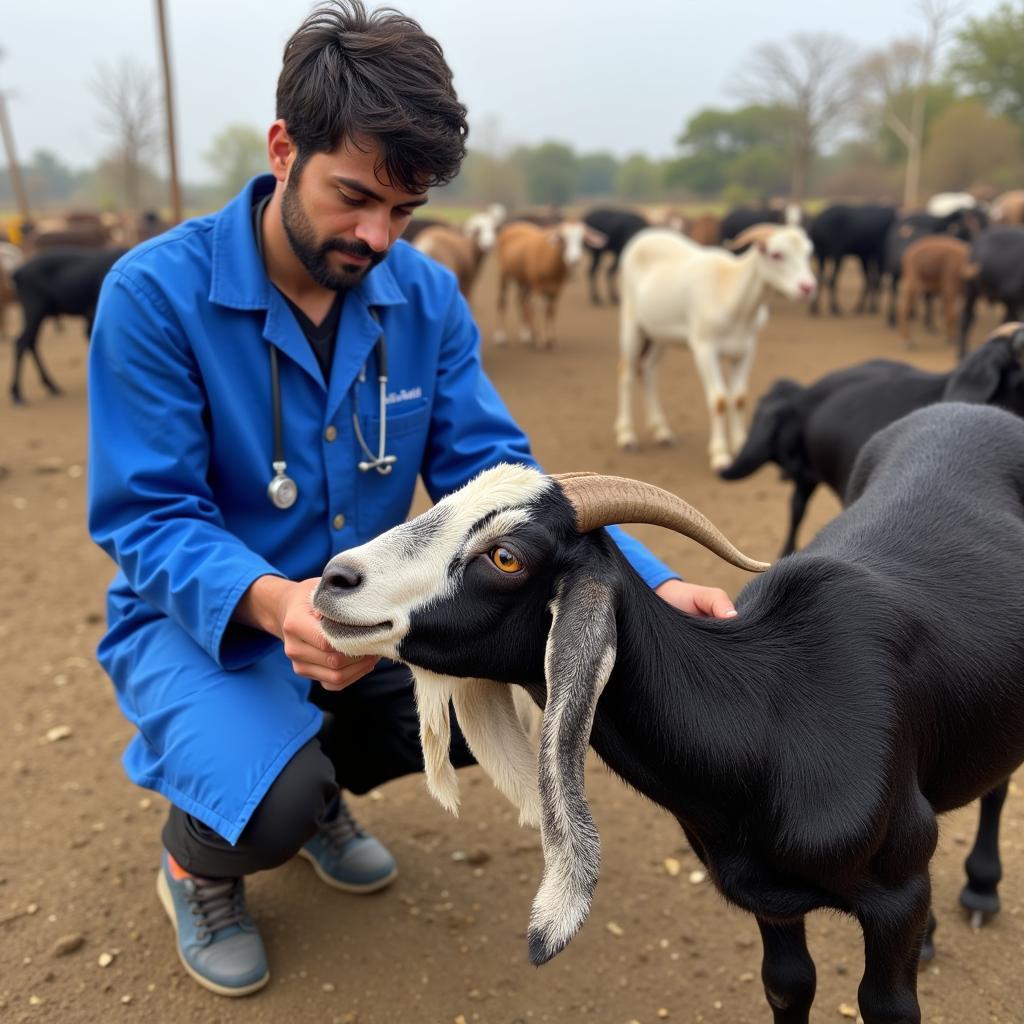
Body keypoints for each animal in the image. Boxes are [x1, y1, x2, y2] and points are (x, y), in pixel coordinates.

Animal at [10, 246, 125, 403]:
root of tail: (18, 272)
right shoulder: (92, 316)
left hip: (38, 312)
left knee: (30, 343)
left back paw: (50, 386)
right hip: (34, 308)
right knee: (22, 343)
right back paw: (17, 393)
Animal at [311, 399, 1024, 1024]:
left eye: (506, 556)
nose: (333, 580)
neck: (777, 715)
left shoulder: (895, 896)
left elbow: (889, 1006)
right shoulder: (770, 900)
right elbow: (788, 984)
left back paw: (980, 891)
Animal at [491, 222, 602, 350]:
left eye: (582, 239)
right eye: (563, 238)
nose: (574, 259)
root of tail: (515, 225)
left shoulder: (556, 291)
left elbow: (551, 311)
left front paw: (552, 341)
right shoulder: (537, 288)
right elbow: (539, 309)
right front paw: (541, 340)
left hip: (523, 280)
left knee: (522, 301)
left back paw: (525, 334)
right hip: (504, 274)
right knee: (502, 301)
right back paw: (501, 336)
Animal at [614, 224, 815, 471]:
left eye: (808, 252)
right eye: (776, 254)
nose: (807, 287)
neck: (731, 292)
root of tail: (646, 235)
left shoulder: (746, 349)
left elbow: (739, 398)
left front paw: (740, 446)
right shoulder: (705, 348)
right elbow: (719, 400)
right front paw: (720, 455)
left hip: (659, 333)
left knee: (649, 371)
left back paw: (662, 432)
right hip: (632, 321)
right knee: (627, 373)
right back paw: (627, 436)